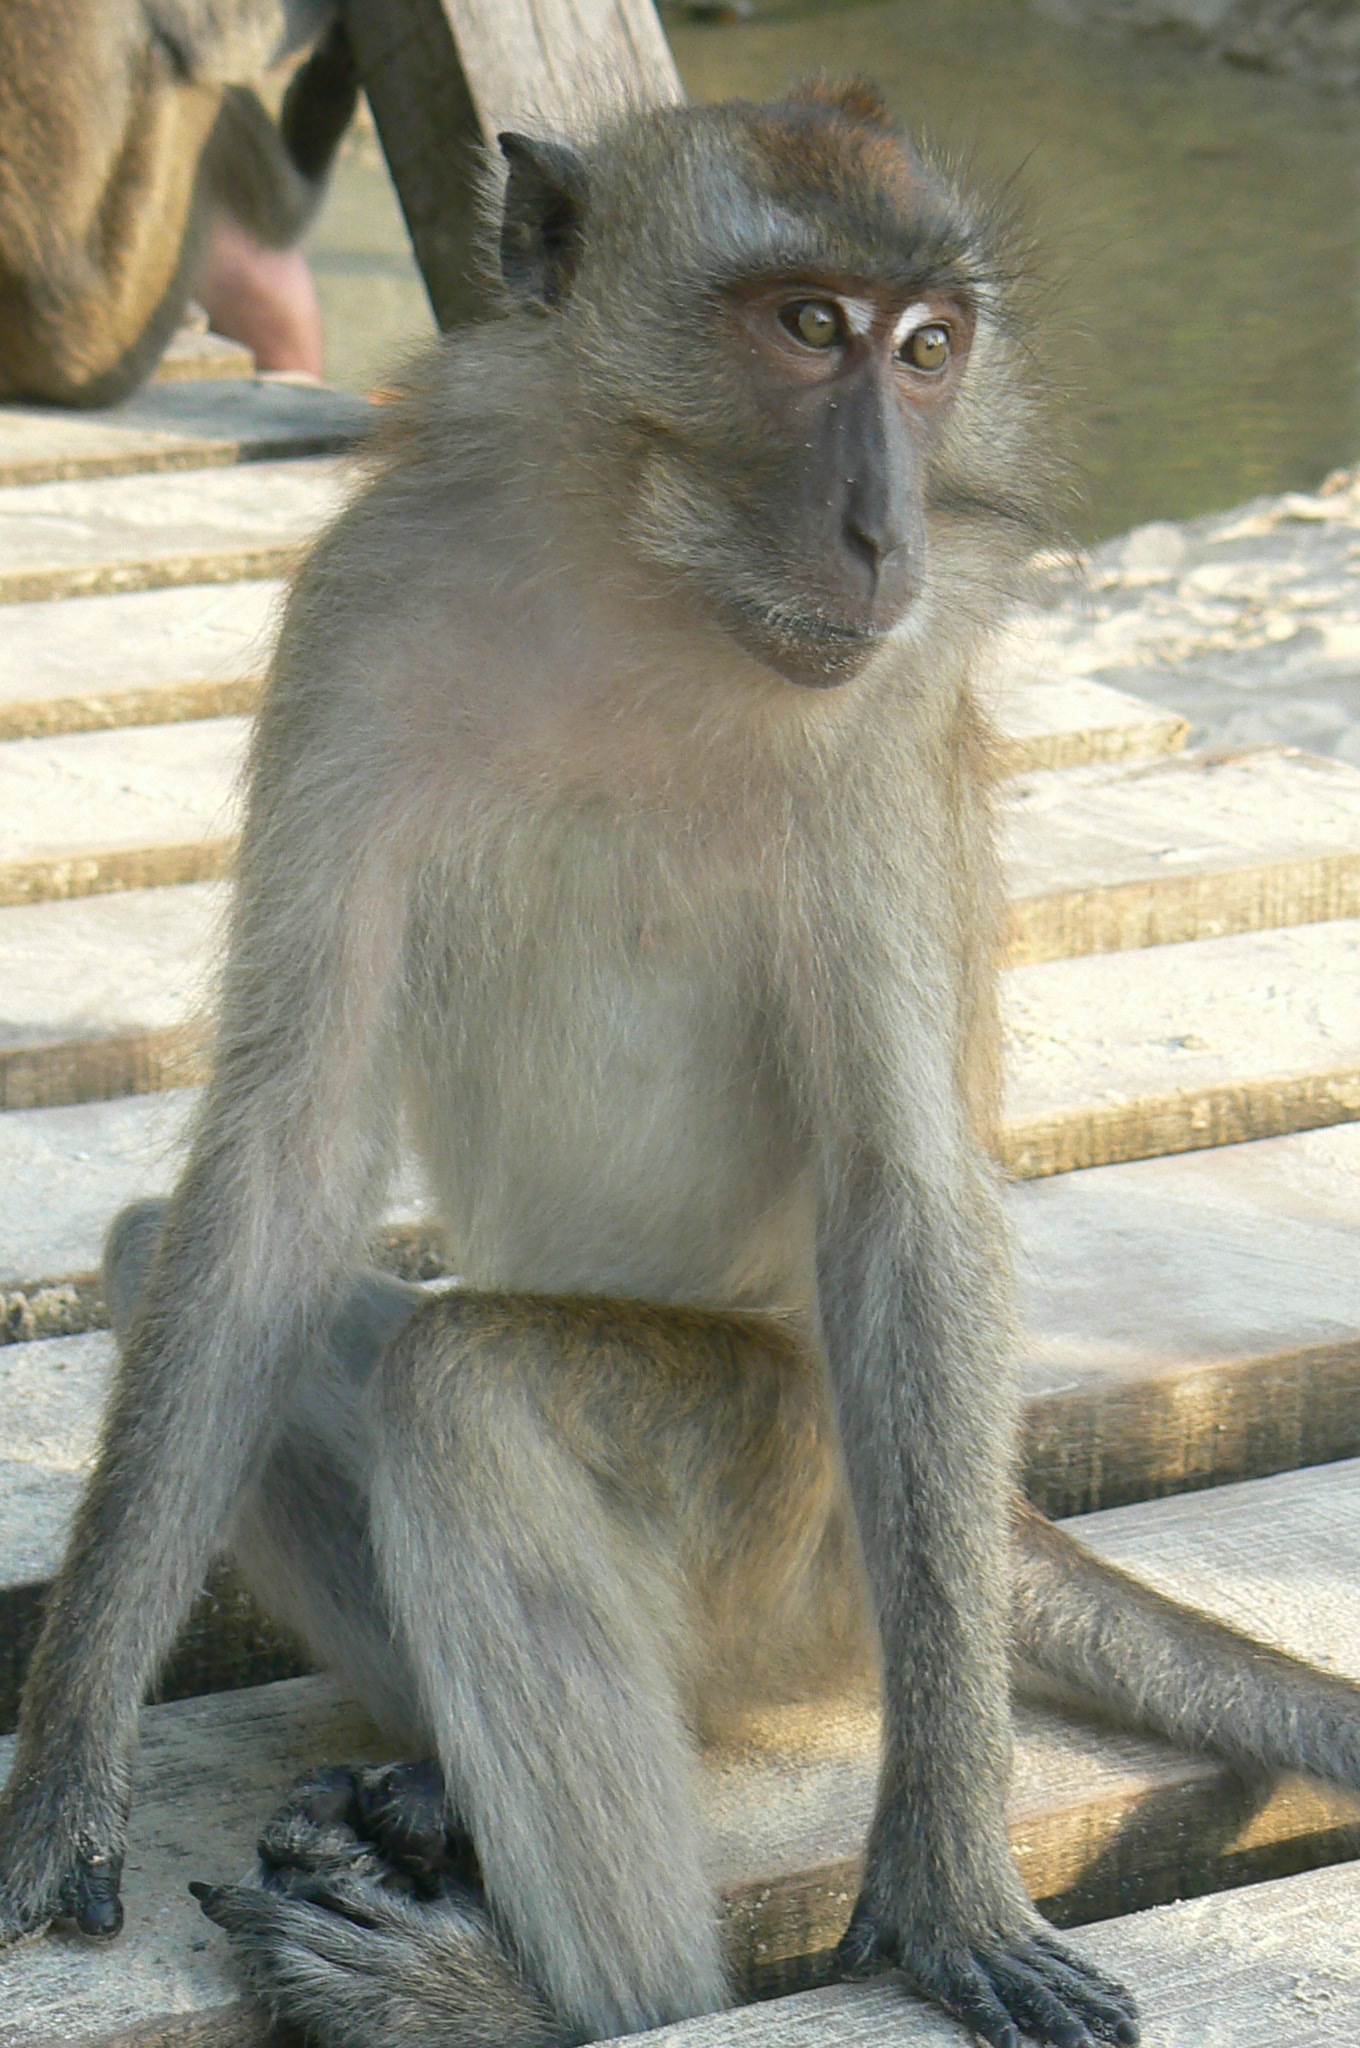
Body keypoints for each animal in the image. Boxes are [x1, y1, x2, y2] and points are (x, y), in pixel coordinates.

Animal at [6, 79, 1360, 2048]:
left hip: (803, 1524)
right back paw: (433, 1791)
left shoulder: (879, 719)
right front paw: (68, 1755)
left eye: (928, 350)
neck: (634, 587)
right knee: (222, 1279)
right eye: (807, 328)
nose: (884, 532)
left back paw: (525, 1997)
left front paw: (948, 1872)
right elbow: (280, 1154)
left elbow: (902, 1201)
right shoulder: (357, 619)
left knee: (477, 1385)